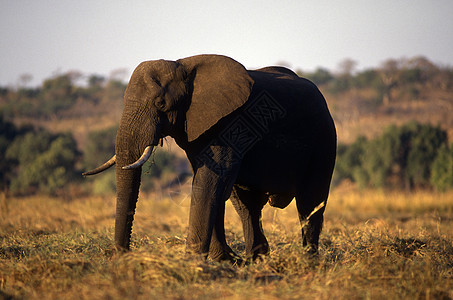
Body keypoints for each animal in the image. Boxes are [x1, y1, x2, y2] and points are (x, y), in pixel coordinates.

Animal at [83, 54, 336, 262]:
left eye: (161, 104)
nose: (120, 255)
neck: (183, 66)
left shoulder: (233, 123)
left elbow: (209, 181)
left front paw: (193, 261)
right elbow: (210, 182)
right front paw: (221, 260)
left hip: (324, 139)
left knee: (310, 202)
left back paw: (307, 261)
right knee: (247, 205)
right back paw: (256, 260)